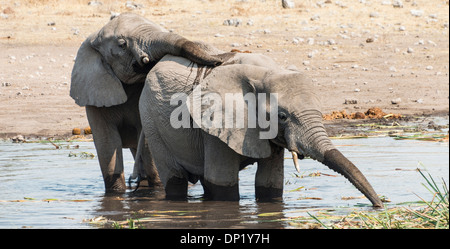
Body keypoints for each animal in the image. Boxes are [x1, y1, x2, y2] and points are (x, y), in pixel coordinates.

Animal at [69, 12, 222, 193]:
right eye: (122, 45)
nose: (218, 61)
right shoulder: (96, 97)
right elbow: (107, 144)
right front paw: (116, 193)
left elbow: (147, 140)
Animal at [138, 53, 384, 208]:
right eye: (282, 116)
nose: (380, 205)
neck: (265, 71)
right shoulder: (214, 128)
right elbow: (222, 182)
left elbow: (270, 183)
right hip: (152, 122)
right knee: (176, 179)